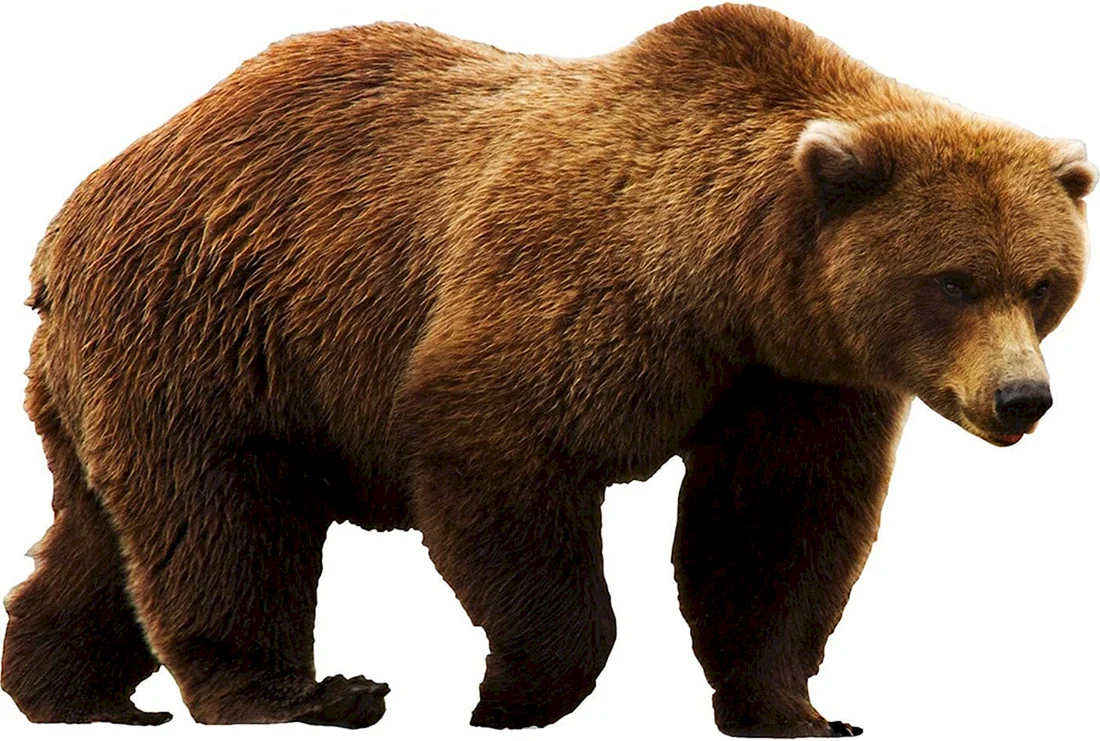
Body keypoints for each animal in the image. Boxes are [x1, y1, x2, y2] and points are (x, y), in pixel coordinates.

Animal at [1, 3, 1095, 738]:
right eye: (952, 281)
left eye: (1043, 283)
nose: (1022, 398)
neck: (731, 281)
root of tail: (74, 213)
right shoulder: (584, 291)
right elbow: (498, 450)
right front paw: (515, 692)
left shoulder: (793, 380)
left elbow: (775, 525)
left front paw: (795, 704)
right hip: (217, 325)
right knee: (222, 515)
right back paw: (303, 693)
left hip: (120, 367)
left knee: (100, 533)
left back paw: (72, 689)